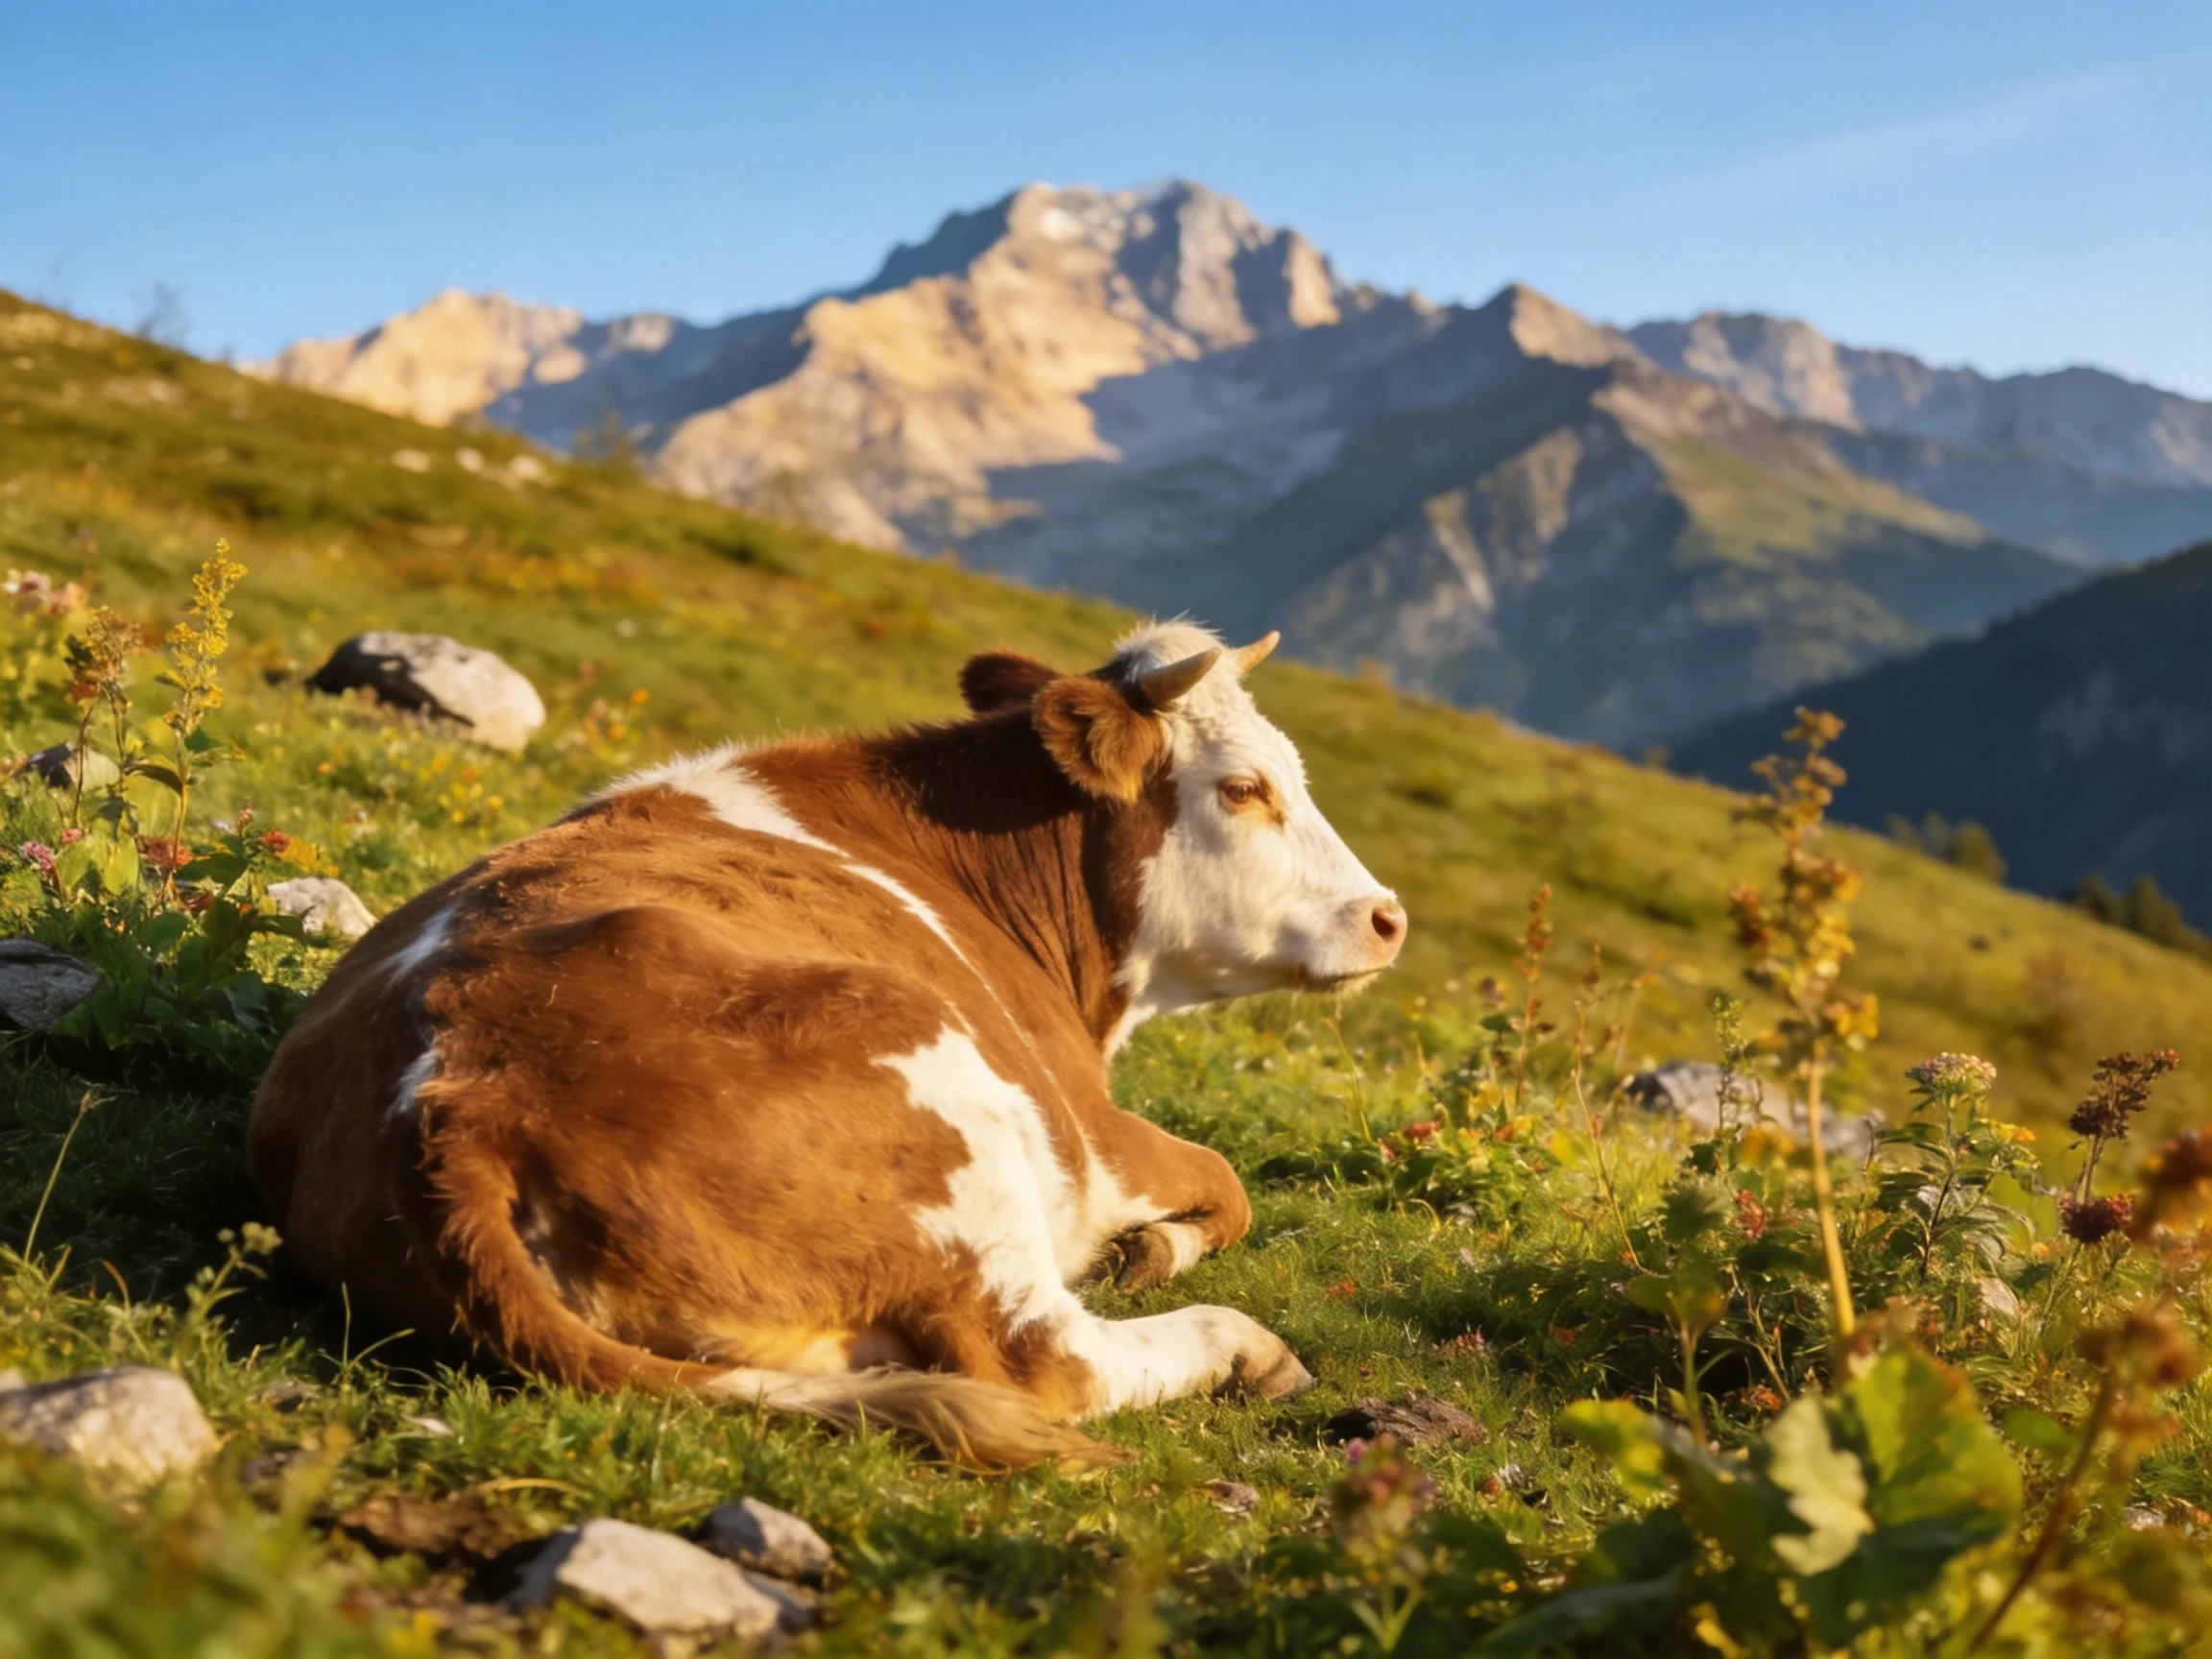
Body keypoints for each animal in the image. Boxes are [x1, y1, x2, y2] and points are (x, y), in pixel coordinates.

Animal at [248, 621, 1406, 1469]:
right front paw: (1152, 1249)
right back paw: (1244, 1348)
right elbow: (1225, 1182)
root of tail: (450, 1105)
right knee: (1044, 1360)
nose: (1387, 917)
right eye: (1245, 788)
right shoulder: (1088, 1128)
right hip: (941, 1096)